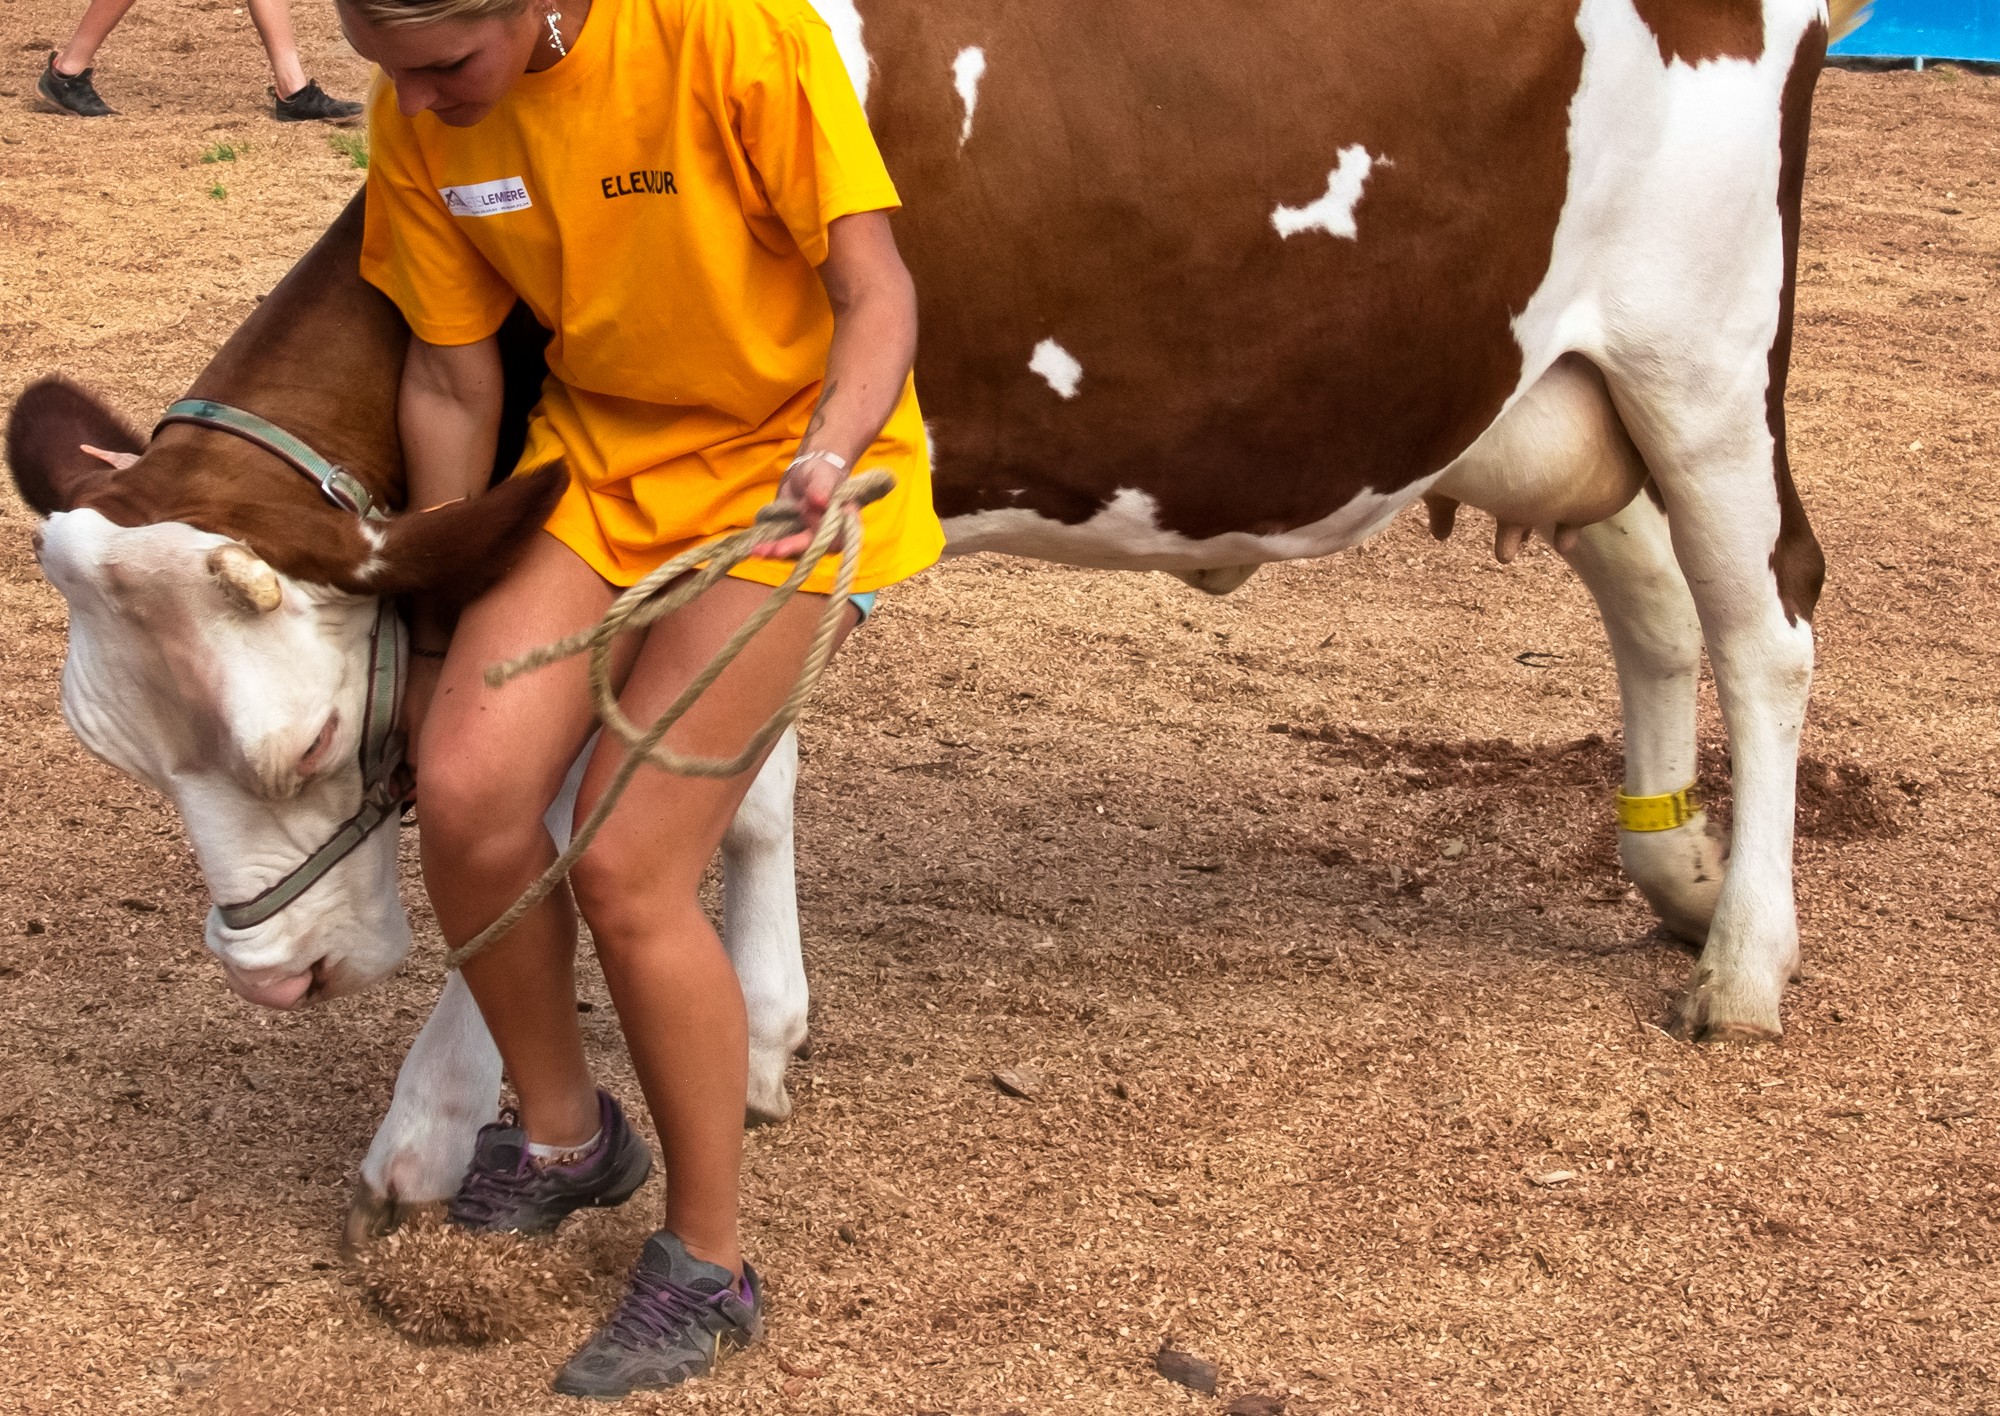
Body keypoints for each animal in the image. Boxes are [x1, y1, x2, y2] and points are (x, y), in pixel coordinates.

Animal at [11, 0, 1856, 1224]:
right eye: (123, 757)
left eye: (312, 736)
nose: (275, 981)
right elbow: (708, 791)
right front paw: (738, 1036)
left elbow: (607, 797)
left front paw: (462, 1108)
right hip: (1541, 389)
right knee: (1653, 604)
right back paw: (1675, 870)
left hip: (1704, 356)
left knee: (1766, 623)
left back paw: (1745, 957)